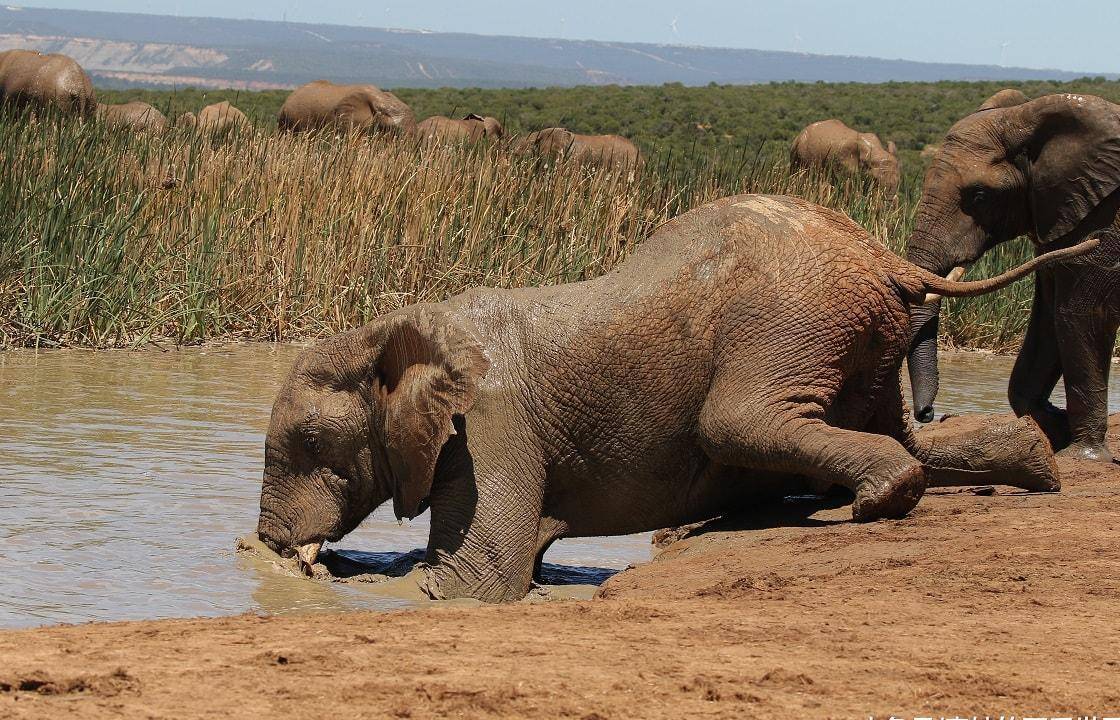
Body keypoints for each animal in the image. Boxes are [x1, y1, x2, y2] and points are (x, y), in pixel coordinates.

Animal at [256, 191, 1084, 604]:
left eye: (310, 445)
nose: (268, 548)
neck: (396, 331)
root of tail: (878, 252)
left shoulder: (490, 422)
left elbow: (472, 587)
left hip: (787, 320)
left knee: (738, 423)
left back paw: (882, 501)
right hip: (869, 338)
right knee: (896, 435)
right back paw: (1034, 467)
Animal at [904, 91, 1120, 461]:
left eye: (978, 196)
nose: (928, 414)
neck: (1027, 115)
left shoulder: (1105, 225)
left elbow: (1079, 315)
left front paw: (1082, 455)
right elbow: (1047, 318)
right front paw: (1051, 423)